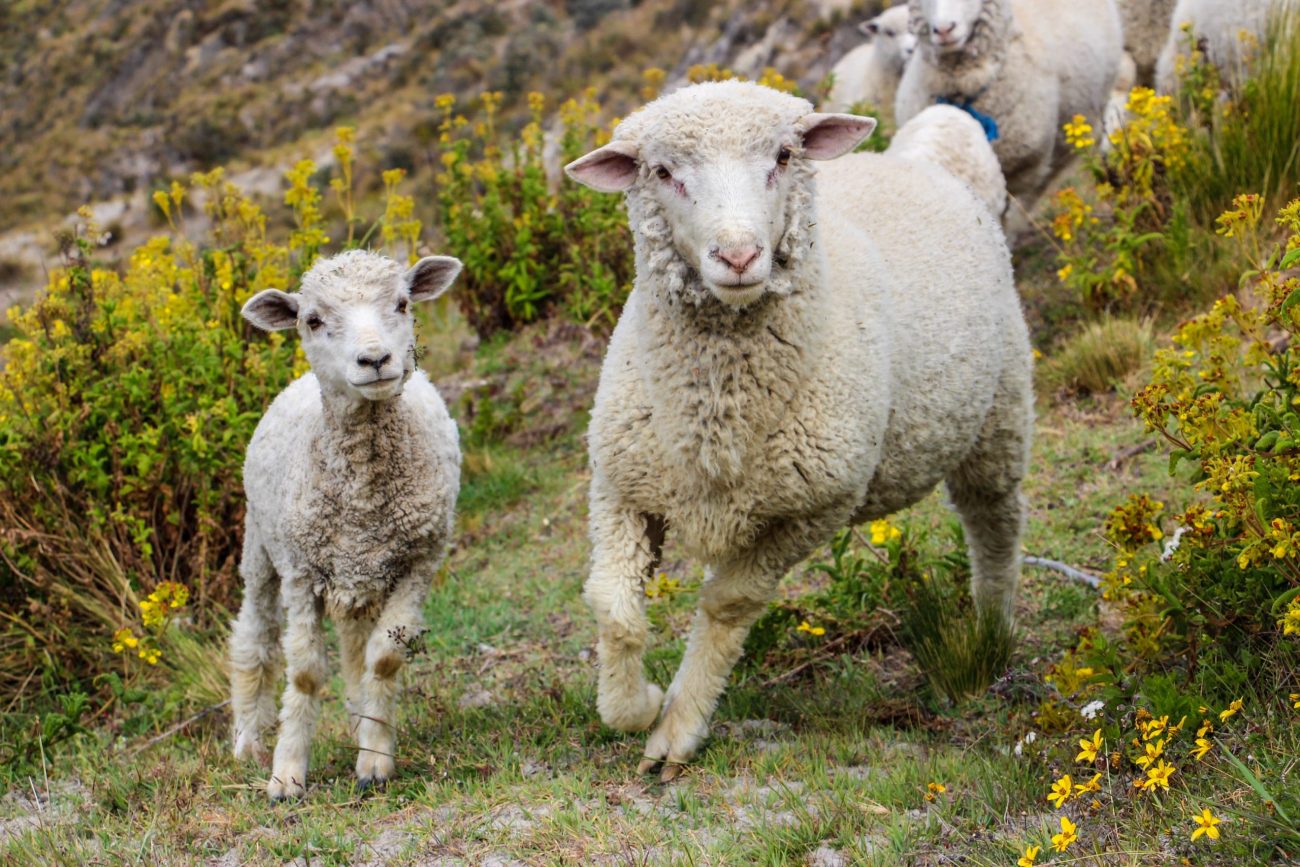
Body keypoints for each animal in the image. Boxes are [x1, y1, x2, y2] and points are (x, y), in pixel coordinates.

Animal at [228, 249, 462, 800]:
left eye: (402, 304)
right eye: (312, 320)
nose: (374, 360)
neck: (362, 496)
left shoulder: (419, 561)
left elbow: (383, 658)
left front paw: (374, 759)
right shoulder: (299, 572)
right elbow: (306, 674)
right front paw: (286, 774)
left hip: (363, 572)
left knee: (356, 646)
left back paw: (360, 718)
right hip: (261, 549)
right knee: (254, 637)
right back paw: (248, 739)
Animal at [564, 79, 1029, 779]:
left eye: (783, 157)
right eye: (663, 172)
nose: (738, 255)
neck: (717, 419)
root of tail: (917, 157)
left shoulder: (811, 509)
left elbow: (726, 605)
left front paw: (677, 725)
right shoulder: (623, 485)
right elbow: (611, 607)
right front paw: (635, 703)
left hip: (1000, 412)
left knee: (993, 527)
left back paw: (992, 629)